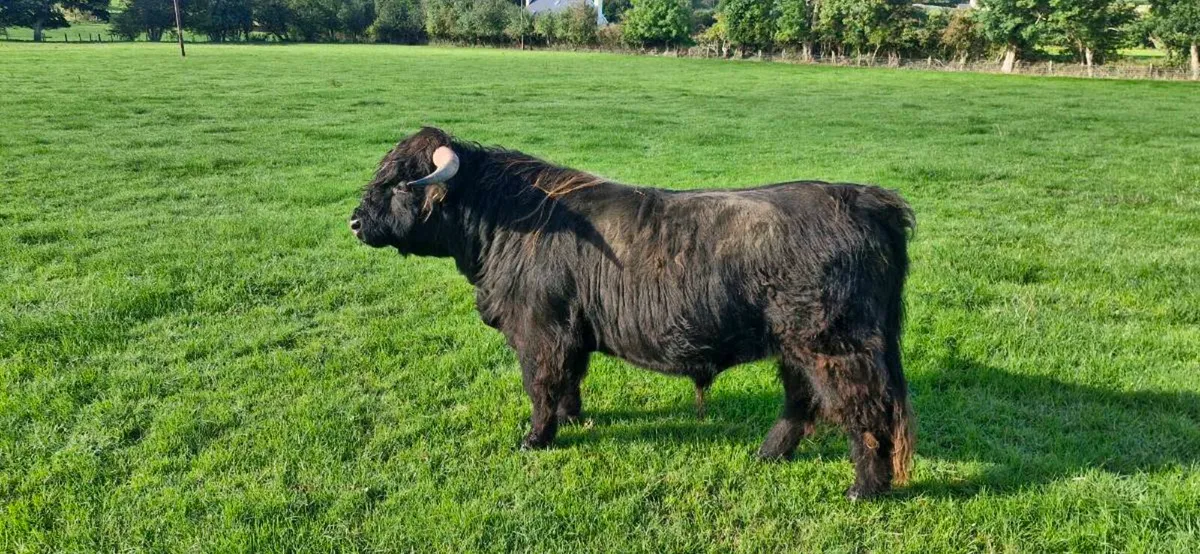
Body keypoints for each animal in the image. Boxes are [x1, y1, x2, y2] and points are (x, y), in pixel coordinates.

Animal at [350, 127, 916, 500]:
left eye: (401, 184)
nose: (354, 221)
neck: (507, 222)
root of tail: (866, 199)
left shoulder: (539, 328)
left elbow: (541, 384)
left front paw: (535, 439)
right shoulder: (571, 329)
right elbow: (570, 379)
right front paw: (574, 420)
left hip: (835, 345)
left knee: (865, 411)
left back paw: (865, 488)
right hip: (796, 345)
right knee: (802, 401)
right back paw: (768, 454)